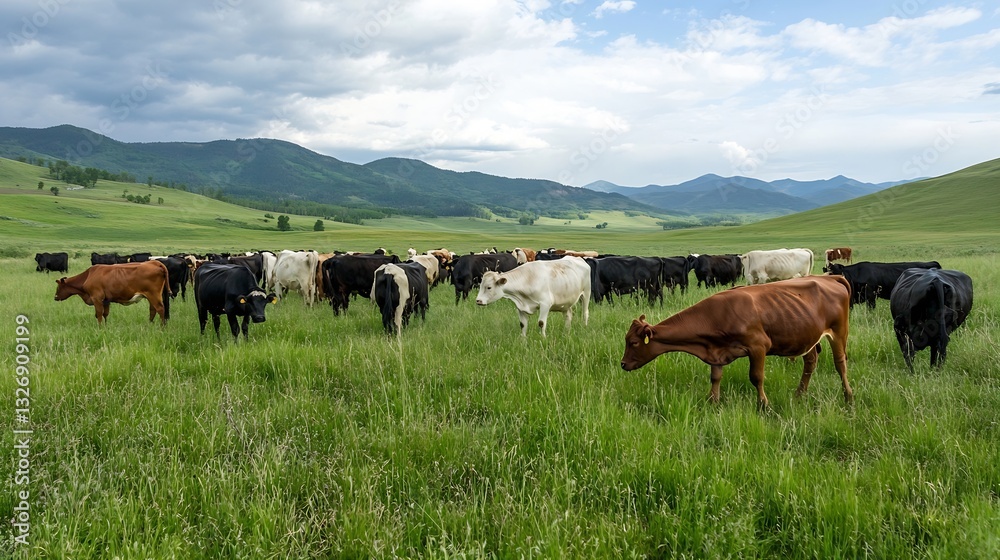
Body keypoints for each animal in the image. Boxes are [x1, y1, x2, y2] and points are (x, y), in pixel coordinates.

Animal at [621, 275, 854, 409]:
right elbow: (715, 378)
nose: (623, 364)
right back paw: (799, 395)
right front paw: (712, 402)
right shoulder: (715, 351)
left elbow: (756, 377)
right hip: (808, 337)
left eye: (633, 342)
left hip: (839, 332)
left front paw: (763, 405)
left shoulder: (758, 346)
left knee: (840, 363)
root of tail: (831, 277)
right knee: (810, 362)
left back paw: (848, 397)